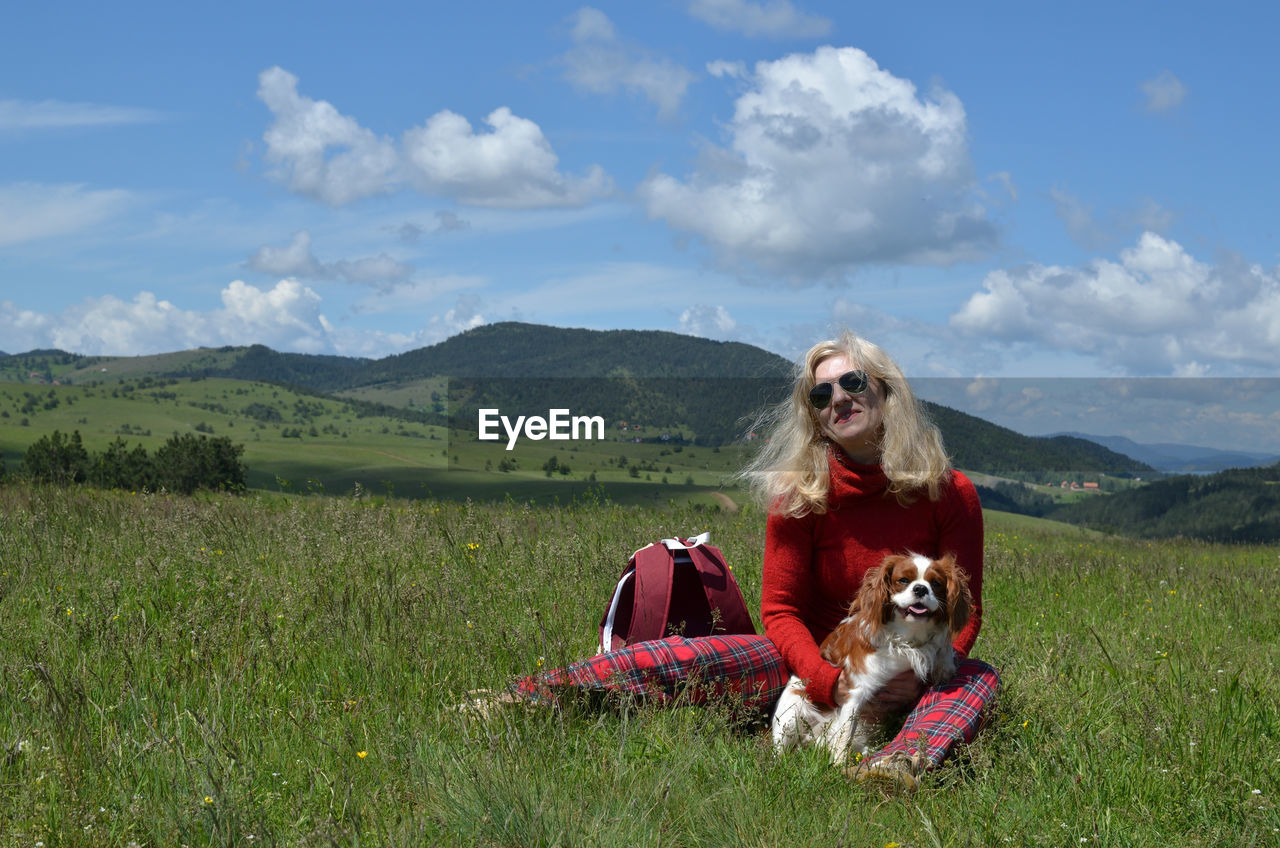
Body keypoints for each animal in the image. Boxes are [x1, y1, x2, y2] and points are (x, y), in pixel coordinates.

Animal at [768, 555, 967, 768]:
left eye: (936, 583)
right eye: (903, 580)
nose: (920, 589)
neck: (908, 637)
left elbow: (943, 644)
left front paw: (945, 665)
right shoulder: (856, 691)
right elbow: (845, 736)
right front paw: (839, 767)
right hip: (792, 711)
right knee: (780, 750)